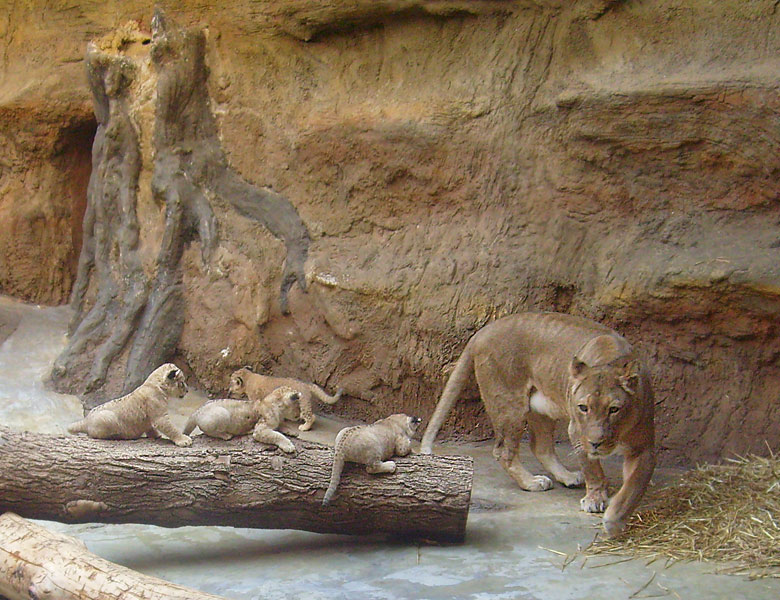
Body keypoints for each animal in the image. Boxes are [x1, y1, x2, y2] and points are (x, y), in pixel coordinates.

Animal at [420, 312, 652, 536]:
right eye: (583, 407)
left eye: (614, 409)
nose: (596, 443)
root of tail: (483, 331)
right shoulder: (577, 432)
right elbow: (592, 469)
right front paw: (595, 500)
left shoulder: (644, 445)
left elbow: (634, 485)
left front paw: (615, 518)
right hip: (510, 405)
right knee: (504, 451)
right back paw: (532, 482)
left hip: (540, 409)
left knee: (540, 447)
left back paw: (567, 477)